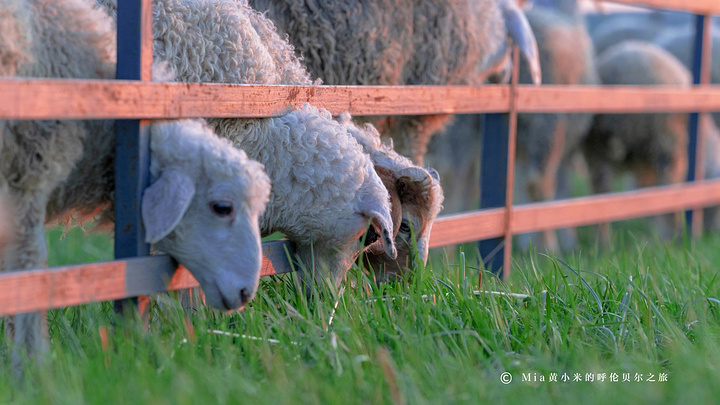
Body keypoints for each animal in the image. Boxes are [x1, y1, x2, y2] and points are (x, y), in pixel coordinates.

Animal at [584, 41, 688, 243]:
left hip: (599, 147)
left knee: (601, 188)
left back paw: (603, 242)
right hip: (665, 139)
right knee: (668, 184)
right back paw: (671, 235)